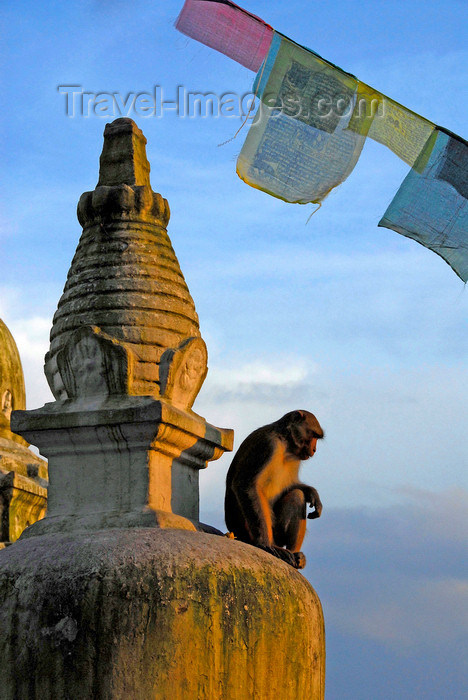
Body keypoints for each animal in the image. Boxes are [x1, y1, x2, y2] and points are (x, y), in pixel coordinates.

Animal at [225, 410, 324, 568]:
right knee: (296, 496)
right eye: (313, 435)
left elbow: (290, 485)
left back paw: (296, 555)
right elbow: (246, 485)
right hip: (250, 531)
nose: (314, 450)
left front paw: (313, 494)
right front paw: (264, 544)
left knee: (296, 495)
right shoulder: (268, 444)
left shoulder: (295, 457)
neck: (285, 441)